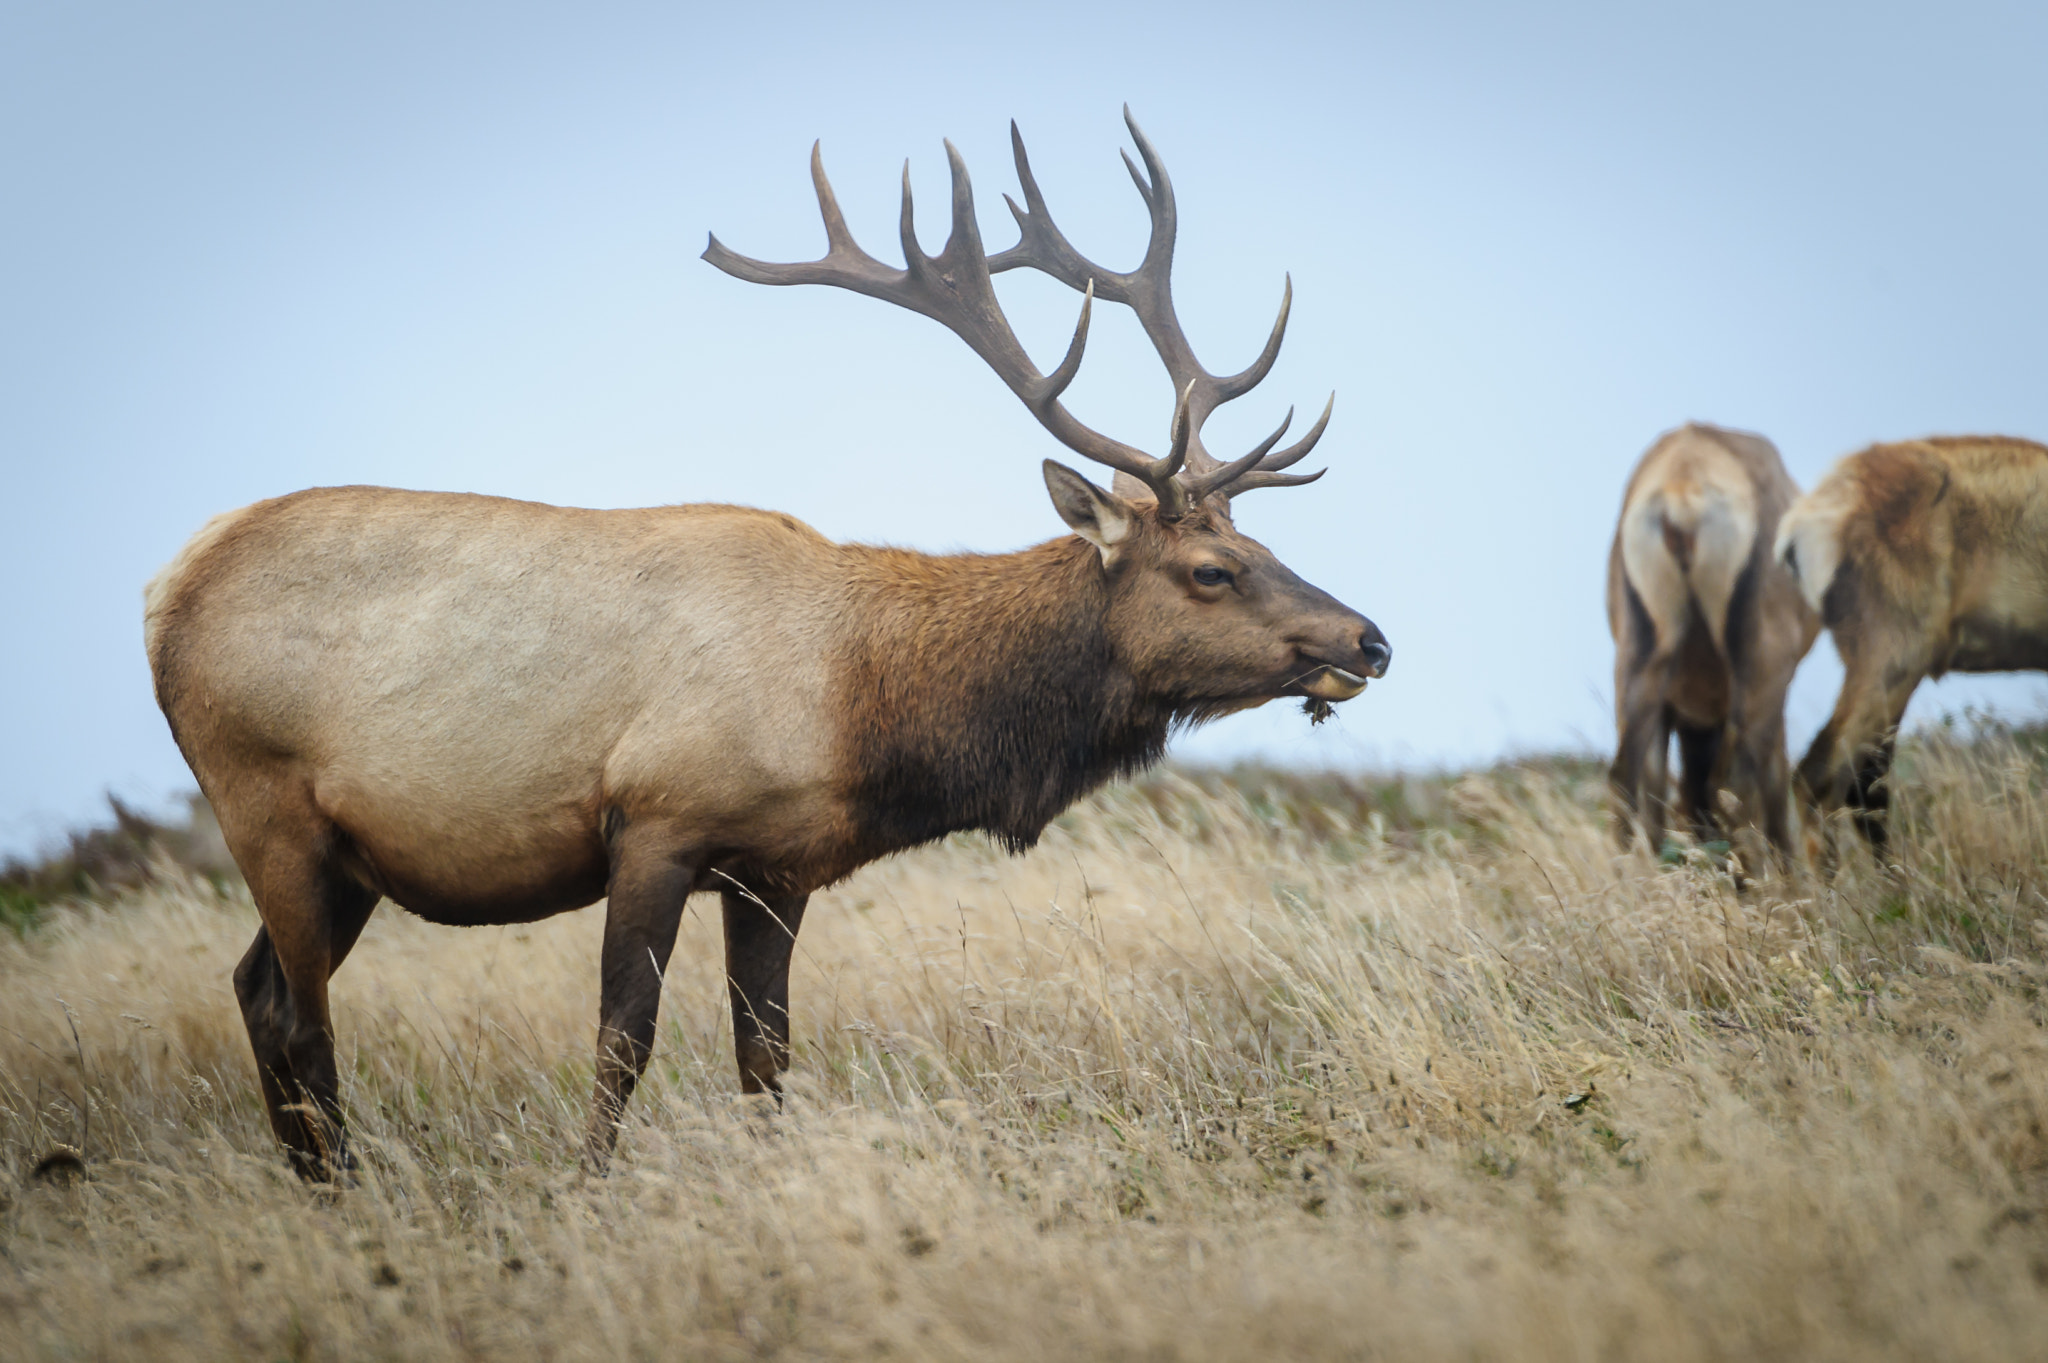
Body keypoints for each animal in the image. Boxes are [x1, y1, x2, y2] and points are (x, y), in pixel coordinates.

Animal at [143, 110, 1390, 1181]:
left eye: (1261, 541)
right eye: (1210, 570)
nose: (1369, 638)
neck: (865, 705)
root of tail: (167, 586)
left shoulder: (774, 869)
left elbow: (767, 1056)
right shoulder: (655, 818)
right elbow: (623, 1038)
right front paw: (583, 1193)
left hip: (345, 854)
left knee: (255, 990)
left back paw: (321, 1186)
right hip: (264, 801)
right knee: (299, 1013)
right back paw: (348, 1191)